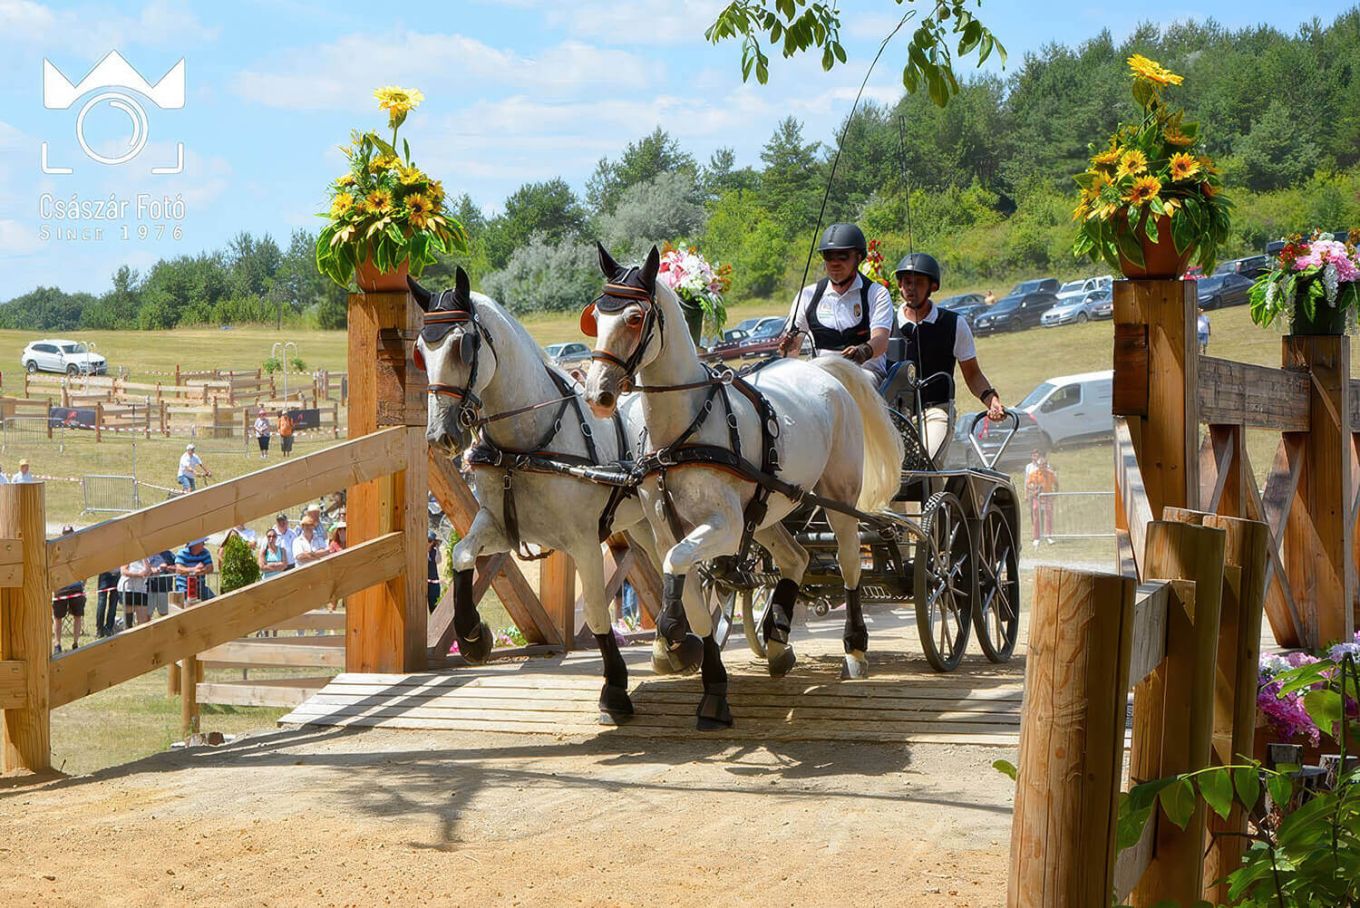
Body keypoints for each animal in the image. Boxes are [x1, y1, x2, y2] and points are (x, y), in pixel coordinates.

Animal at [410, 267, 712, 723]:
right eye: (420, 352)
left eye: (464, 346)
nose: (440, 435)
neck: (527, 446)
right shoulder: (500, 526)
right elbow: (462, 555)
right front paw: (474, 637)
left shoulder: (584, 542)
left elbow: (598, 613)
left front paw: (615, 690)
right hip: (644, 524)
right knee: (667, 566)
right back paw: (675, 645)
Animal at [582, 244, 903, 728]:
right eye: (596, 315)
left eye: (635, 318)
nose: (598, 394)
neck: (682, 434)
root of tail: (821, 370)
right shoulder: (667, 529)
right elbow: (688, 589)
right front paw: (706, 681)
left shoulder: (726, 526)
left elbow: (679, 569)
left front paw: (673, 635)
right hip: (769, 509)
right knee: (796, 557)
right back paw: (777, 641)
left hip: (839, 499)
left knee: (848, 564)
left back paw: (855, 649)